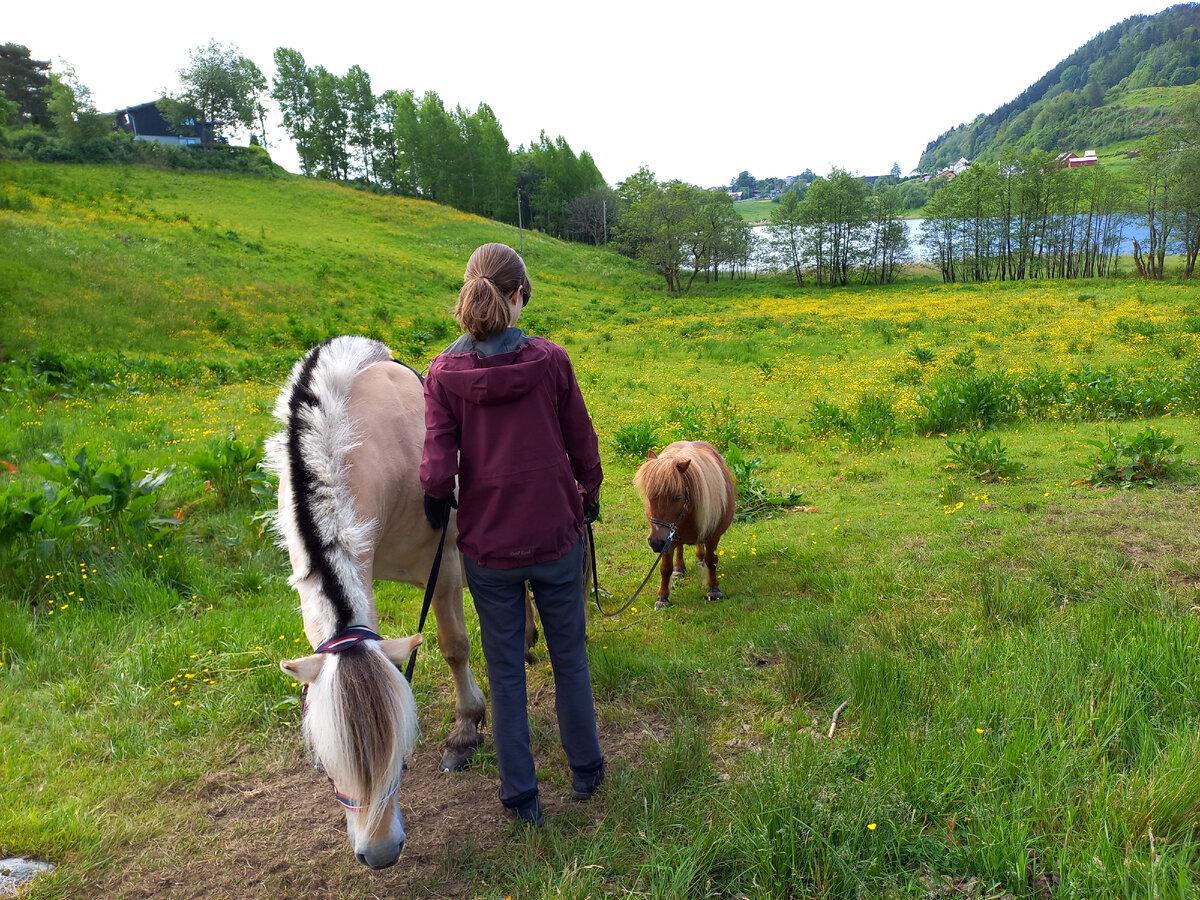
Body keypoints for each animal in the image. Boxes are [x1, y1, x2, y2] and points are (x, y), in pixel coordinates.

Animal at [265, 336, 484, 868]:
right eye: (327, 763)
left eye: (400, 754)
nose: (380, 852)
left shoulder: (443, 564)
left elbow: (454, 646)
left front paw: (466, 730)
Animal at [633, 444, 734, 614]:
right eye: (650, 497)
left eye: (677, 497)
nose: (655, 543)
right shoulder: (667, 540)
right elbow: (665, 568)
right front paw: (663, 598)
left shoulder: (712, 535)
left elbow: (711, 561)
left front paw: (714, 590)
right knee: (679, 548)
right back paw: (679, 569)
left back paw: (700, 559)